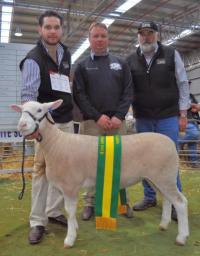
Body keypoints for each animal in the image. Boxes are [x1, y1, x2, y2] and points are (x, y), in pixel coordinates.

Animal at [10, 100, 189, 248]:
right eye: (22, 110)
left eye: (40, 110)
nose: (22, 125)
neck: (56, 143)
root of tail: (170, 142)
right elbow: (70, 213)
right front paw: (74, 228)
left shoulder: (70, 185)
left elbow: (70, 211)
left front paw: (70, 238)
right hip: (157, 178)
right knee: (167, 198)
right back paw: (164, 225)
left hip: (166, 175)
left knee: (180, 202)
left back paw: (181, 237)